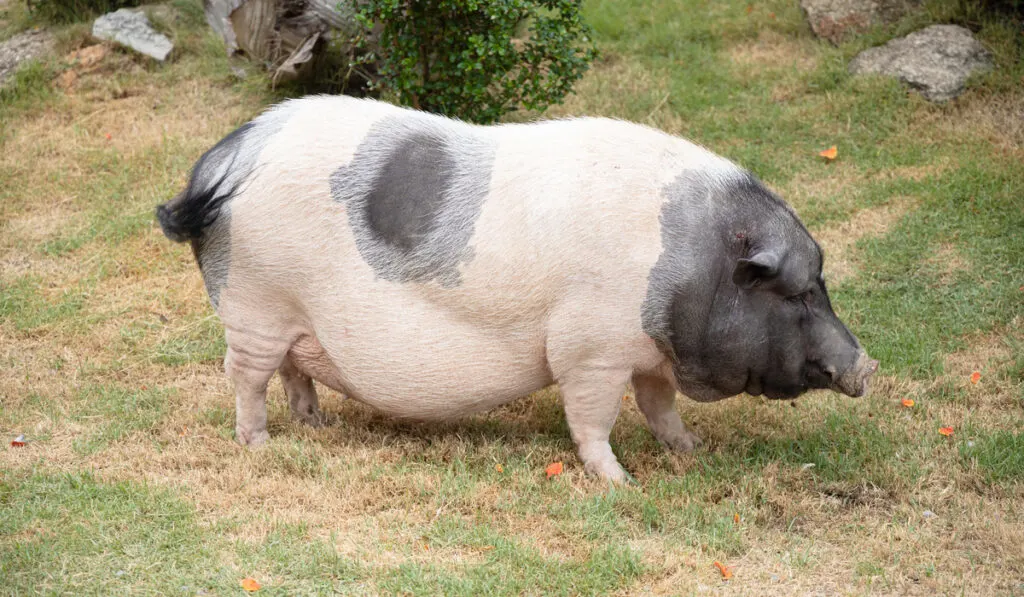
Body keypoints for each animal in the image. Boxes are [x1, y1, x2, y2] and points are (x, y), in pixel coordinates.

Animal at [157, 95, 880, 483]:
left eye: (819, 283)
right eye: (798, 292)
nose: (868, 365)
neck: (690, 262)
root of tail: (225, 162)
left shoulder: (648, 348)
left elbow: (659, 405)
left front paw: (689, 450)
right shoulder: (590, 348)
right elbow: (592, 417)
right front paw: (620, 482)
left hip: (288, 316)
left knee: (293, 370)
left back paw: (317, 421)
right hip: (254, 302)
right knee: (245, 376)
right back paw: (260, 444)